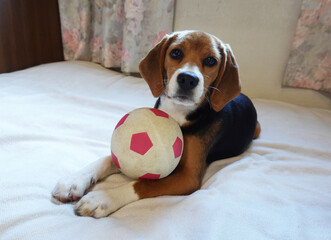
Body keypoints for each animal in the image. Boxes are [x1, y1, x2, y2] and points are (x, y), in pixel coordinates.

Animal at [52, 30, 260, 218]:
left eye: (210, 61)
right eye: (176, 53)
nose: (188, 79)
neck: (178, 113)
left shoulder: (188, 177)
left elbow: (143, 183)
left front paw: (102, 198)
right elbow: (106, 159)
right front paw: (74, 181)